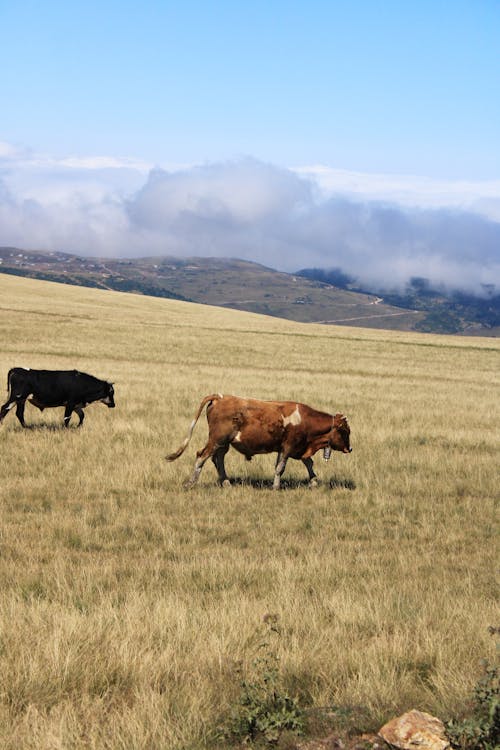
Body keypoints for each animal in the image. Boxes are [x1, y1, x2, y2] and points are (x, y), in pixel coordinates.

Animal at [166, 396, 350, 490]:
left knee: (218, 459)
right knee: (202, 456)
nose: (350, 448)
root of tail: (220, 397)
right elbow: (281, 468)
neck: (305, 420)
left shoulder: (295, 448)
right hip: (216, 440)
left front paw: (313, 481)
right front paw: (275, 487)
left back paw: (226, 482)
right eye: (345, 431)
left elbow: (308, 463)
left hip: (223, 444)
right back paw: (191, 483)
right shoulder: (288, 447)